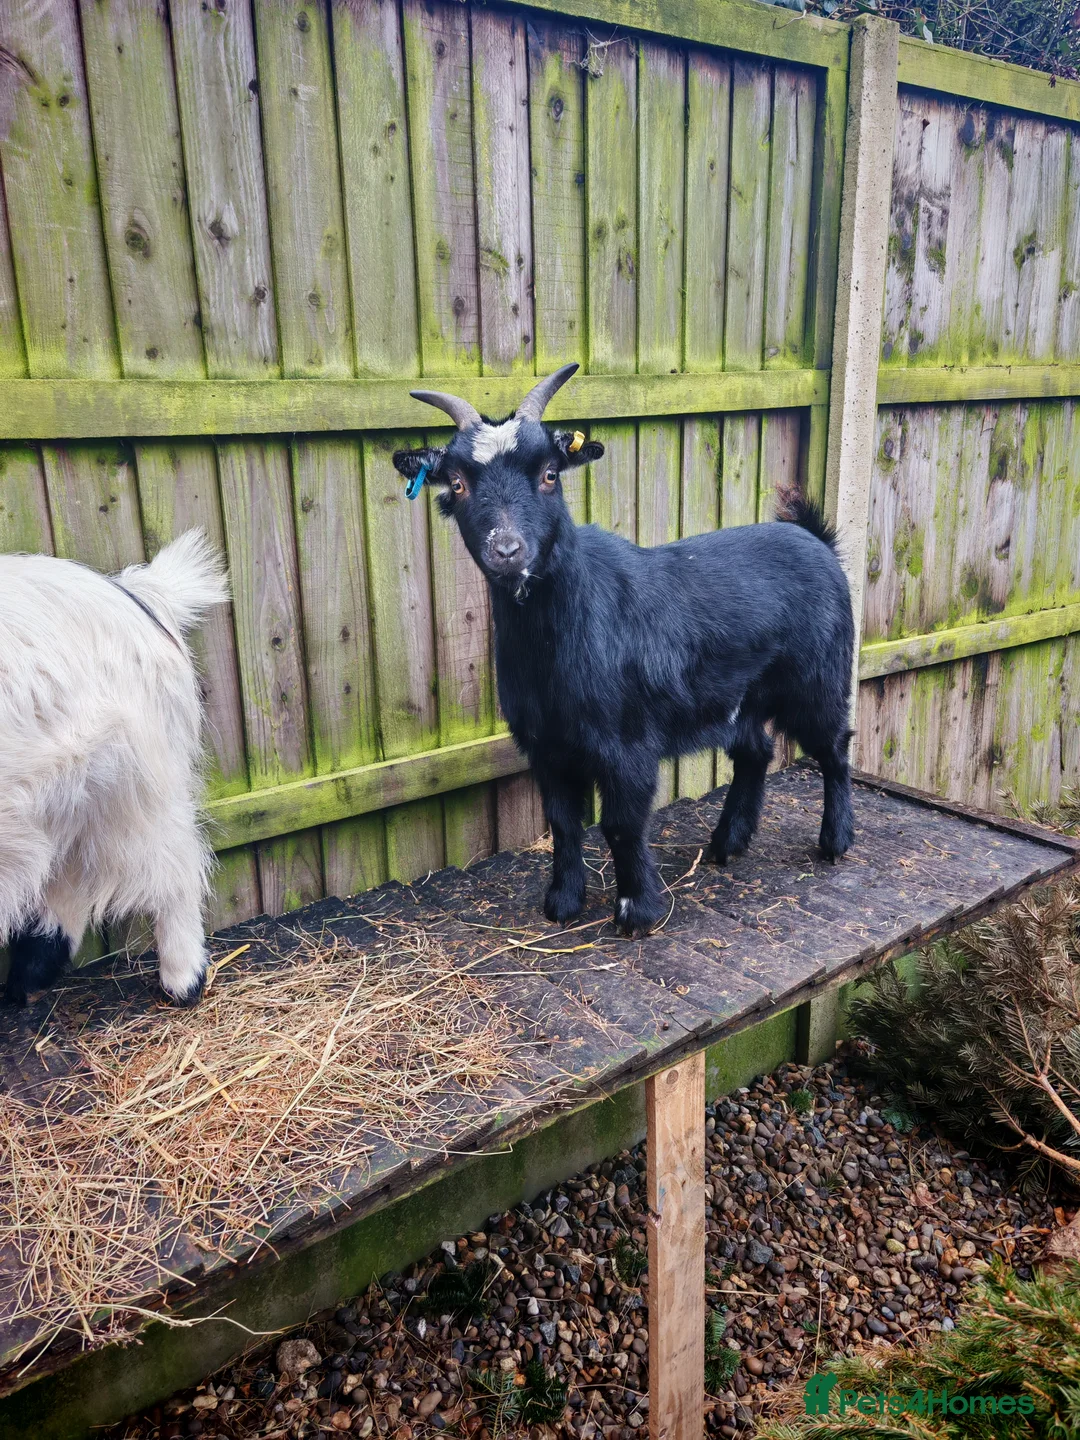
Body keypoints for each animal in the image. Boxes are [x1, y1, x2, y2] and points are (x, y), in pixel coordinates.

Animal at [0, 531, 229, 1007]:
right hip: (61, 793)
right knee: (64, 873)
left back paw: (184, 981)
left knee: (175, 860)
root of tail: (136, 591)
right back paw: (26, 984)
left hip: (134, 777)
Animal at [394, 365, 855, 937]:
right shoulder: (546, 745)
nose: (507, 550)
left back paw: (835, 842)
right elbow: (563, 823)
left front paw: (637, 909)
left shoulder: (627, 744)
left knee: (834, 748)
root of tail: (817, 541)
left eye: (550, 474)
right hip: (742, 694)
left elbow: (620, 824)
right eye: (457, 483)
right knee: (756, 752)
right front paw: (563, 901)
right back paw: (728, 844)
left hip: (820, 678)